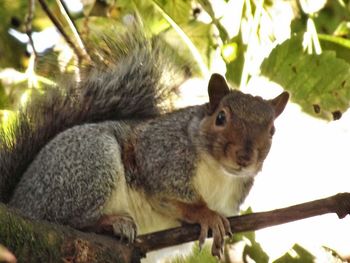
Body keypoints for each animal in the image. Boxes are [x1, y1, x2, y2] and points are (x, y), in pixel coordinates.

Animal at [0, 28, 288, 258]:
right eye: (221, 118)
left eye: (272, 130)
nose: (244, 157)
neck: (219, 172)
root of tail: (18, 201)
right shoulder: (160, 154)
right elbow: (170, 197)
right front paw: (205, 214)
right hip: (90, 164)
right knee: (67, 221)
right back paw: (111, 223)